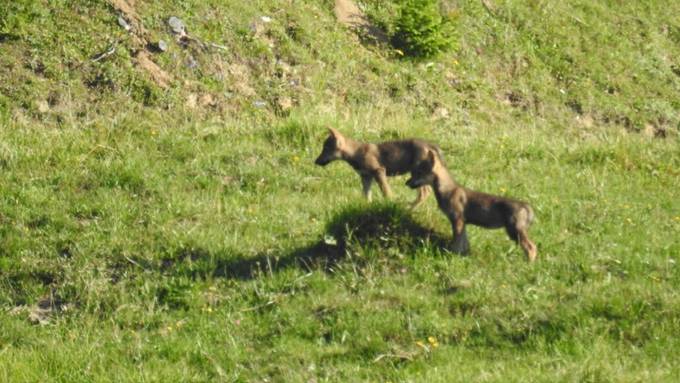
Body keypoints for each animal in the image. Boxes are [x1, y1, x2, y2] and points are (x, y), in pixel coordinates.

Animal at [404, 149, 536, 260]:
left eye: (419, 172)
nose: (406, 183)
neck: (448, 190)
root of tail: (526, 206)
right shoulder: (462, 222)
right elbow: (464, 242)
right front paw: (462, 255)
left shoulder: (457, 219)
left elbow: (457, 242)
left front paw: (452, 255)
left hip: (514, 231)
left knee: (531, 247)